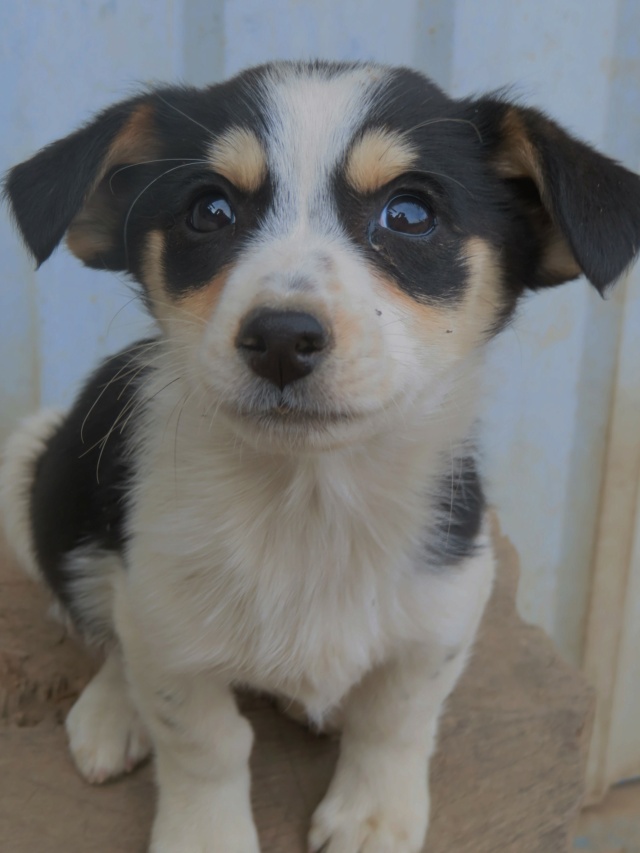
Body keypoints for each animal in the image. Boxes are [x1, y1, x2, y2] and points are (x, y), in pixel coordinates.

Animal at [1, 61, 640, 852]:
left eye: (410, 215)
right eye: (209, 211)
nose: (279, 338)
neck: (311, 497)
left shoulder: (450, 600)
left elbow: (397, 716)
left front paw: (374, 815)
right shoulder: (168, 624)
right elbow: (204, 740)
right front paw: (205, 834)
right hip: (35, 476)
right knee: (110, 629)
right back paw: (113, 711)